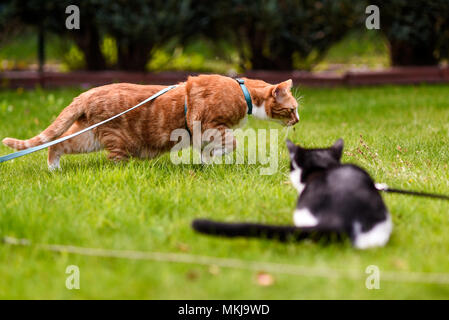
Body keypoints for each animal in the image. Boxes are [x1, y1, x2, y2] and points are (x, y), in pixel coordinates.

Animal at [3, 74, 300, 170]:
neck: (243, 91)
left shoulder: (203, 134)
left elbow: (207, 151)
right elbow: (232, 143)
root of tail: (86, 93)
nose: (297, 121)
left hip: (89, 136)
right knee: (113, 160)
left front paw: (208, 163)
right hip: (116, 139)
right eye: (293, 109)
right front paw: (216, 158)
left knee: (58, 145)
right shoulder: (210, 125)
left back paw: (54, 169)